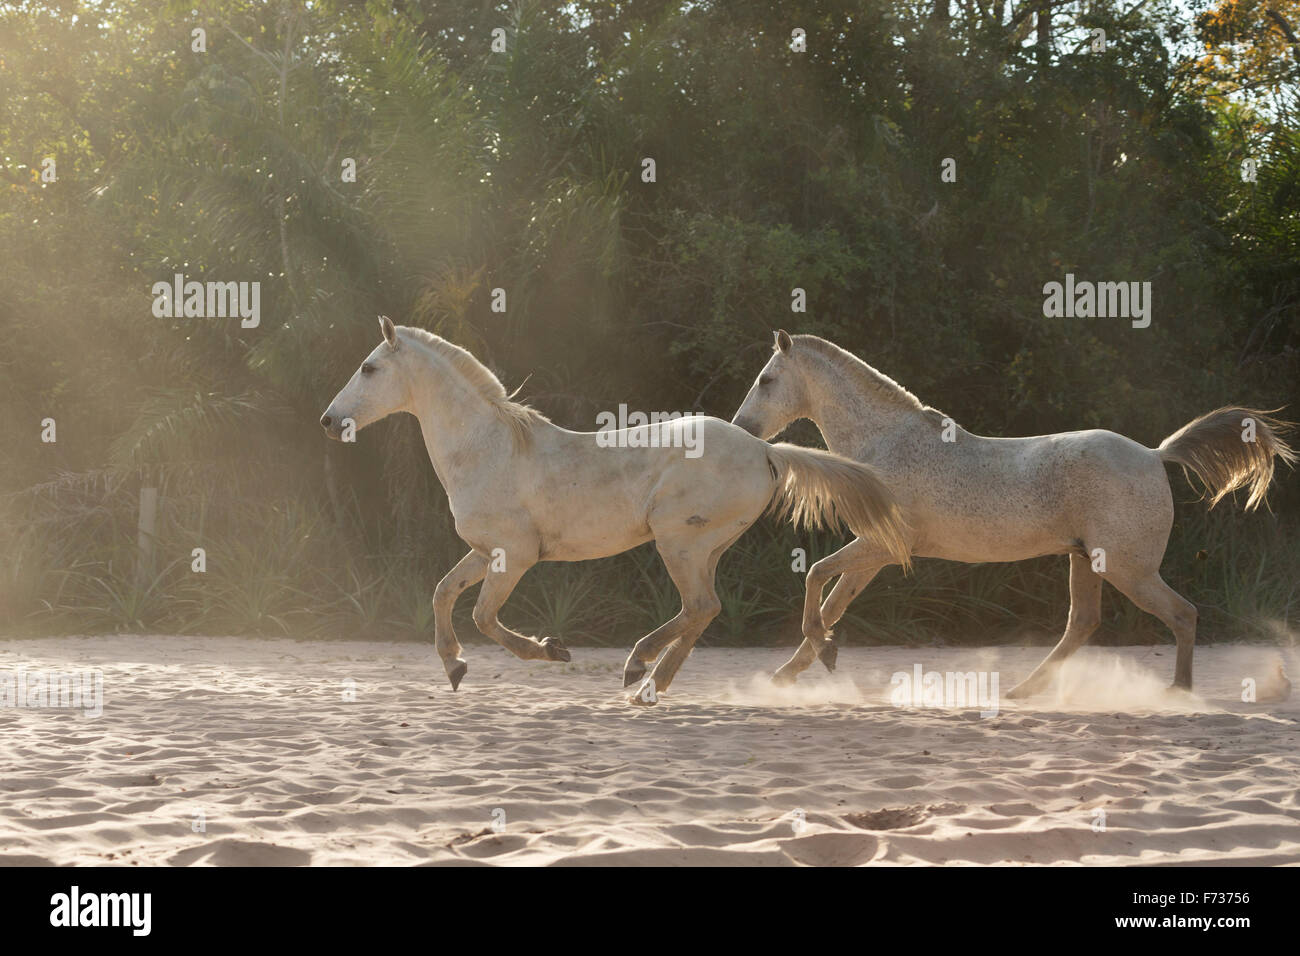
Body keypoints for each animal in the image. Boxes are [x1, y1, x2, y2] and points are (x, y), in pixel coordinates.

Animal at [321, 321, 909, 702]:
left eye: (368, 367)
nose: (329, 421)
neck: (489, 449)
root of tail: (764, 449)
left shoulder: (514, 556)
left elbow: (484, 616)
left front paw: (552, 651)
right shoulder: (485, 552)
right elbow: (443, 593)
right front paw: (454, 667)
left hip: (679, 542)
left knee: (700, 607)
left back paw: (638, 669)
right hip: (705, 548)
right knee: (704, 610)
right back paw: (649, 683)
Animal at [733, 332, 1289, 697]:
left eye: (766, 378)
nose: (742, 427)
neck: (884, 443)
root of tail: (1155, 455)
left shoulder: (880, 548)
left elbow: (816, 578)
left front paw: (817, 656)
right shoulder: (876, 553)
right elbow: (831, 604)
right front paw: (789, 671)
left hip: (1130, 570)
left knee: (1182, 614)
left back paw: (1177, 693)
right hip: (1087, 561)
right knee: (1082, 625)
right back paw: (1023, 690)